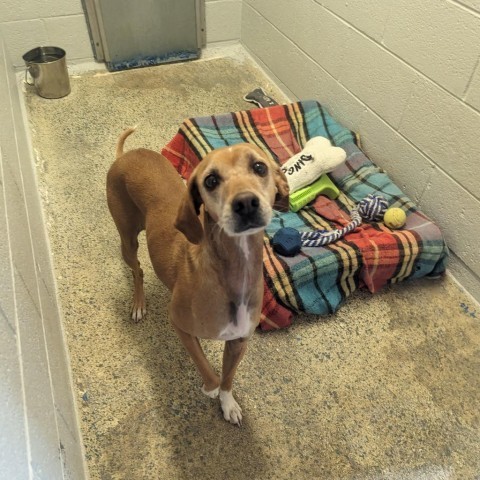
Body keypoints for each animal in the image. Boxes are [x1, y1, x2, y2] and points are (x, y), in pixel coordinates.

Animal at [108, 127, 288, 424]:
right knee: (138, 270)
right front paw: (210, 389)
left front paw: (228, 403)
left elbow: (228, 379)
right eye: (211, 180)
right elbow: (210, 373)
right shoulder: (180, 325)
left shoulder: (239, 341)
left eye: (260, 167)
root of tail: (125, 155)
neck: (232, 274)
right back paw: (138, 304)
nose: (246, 203)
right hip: (127, 240)